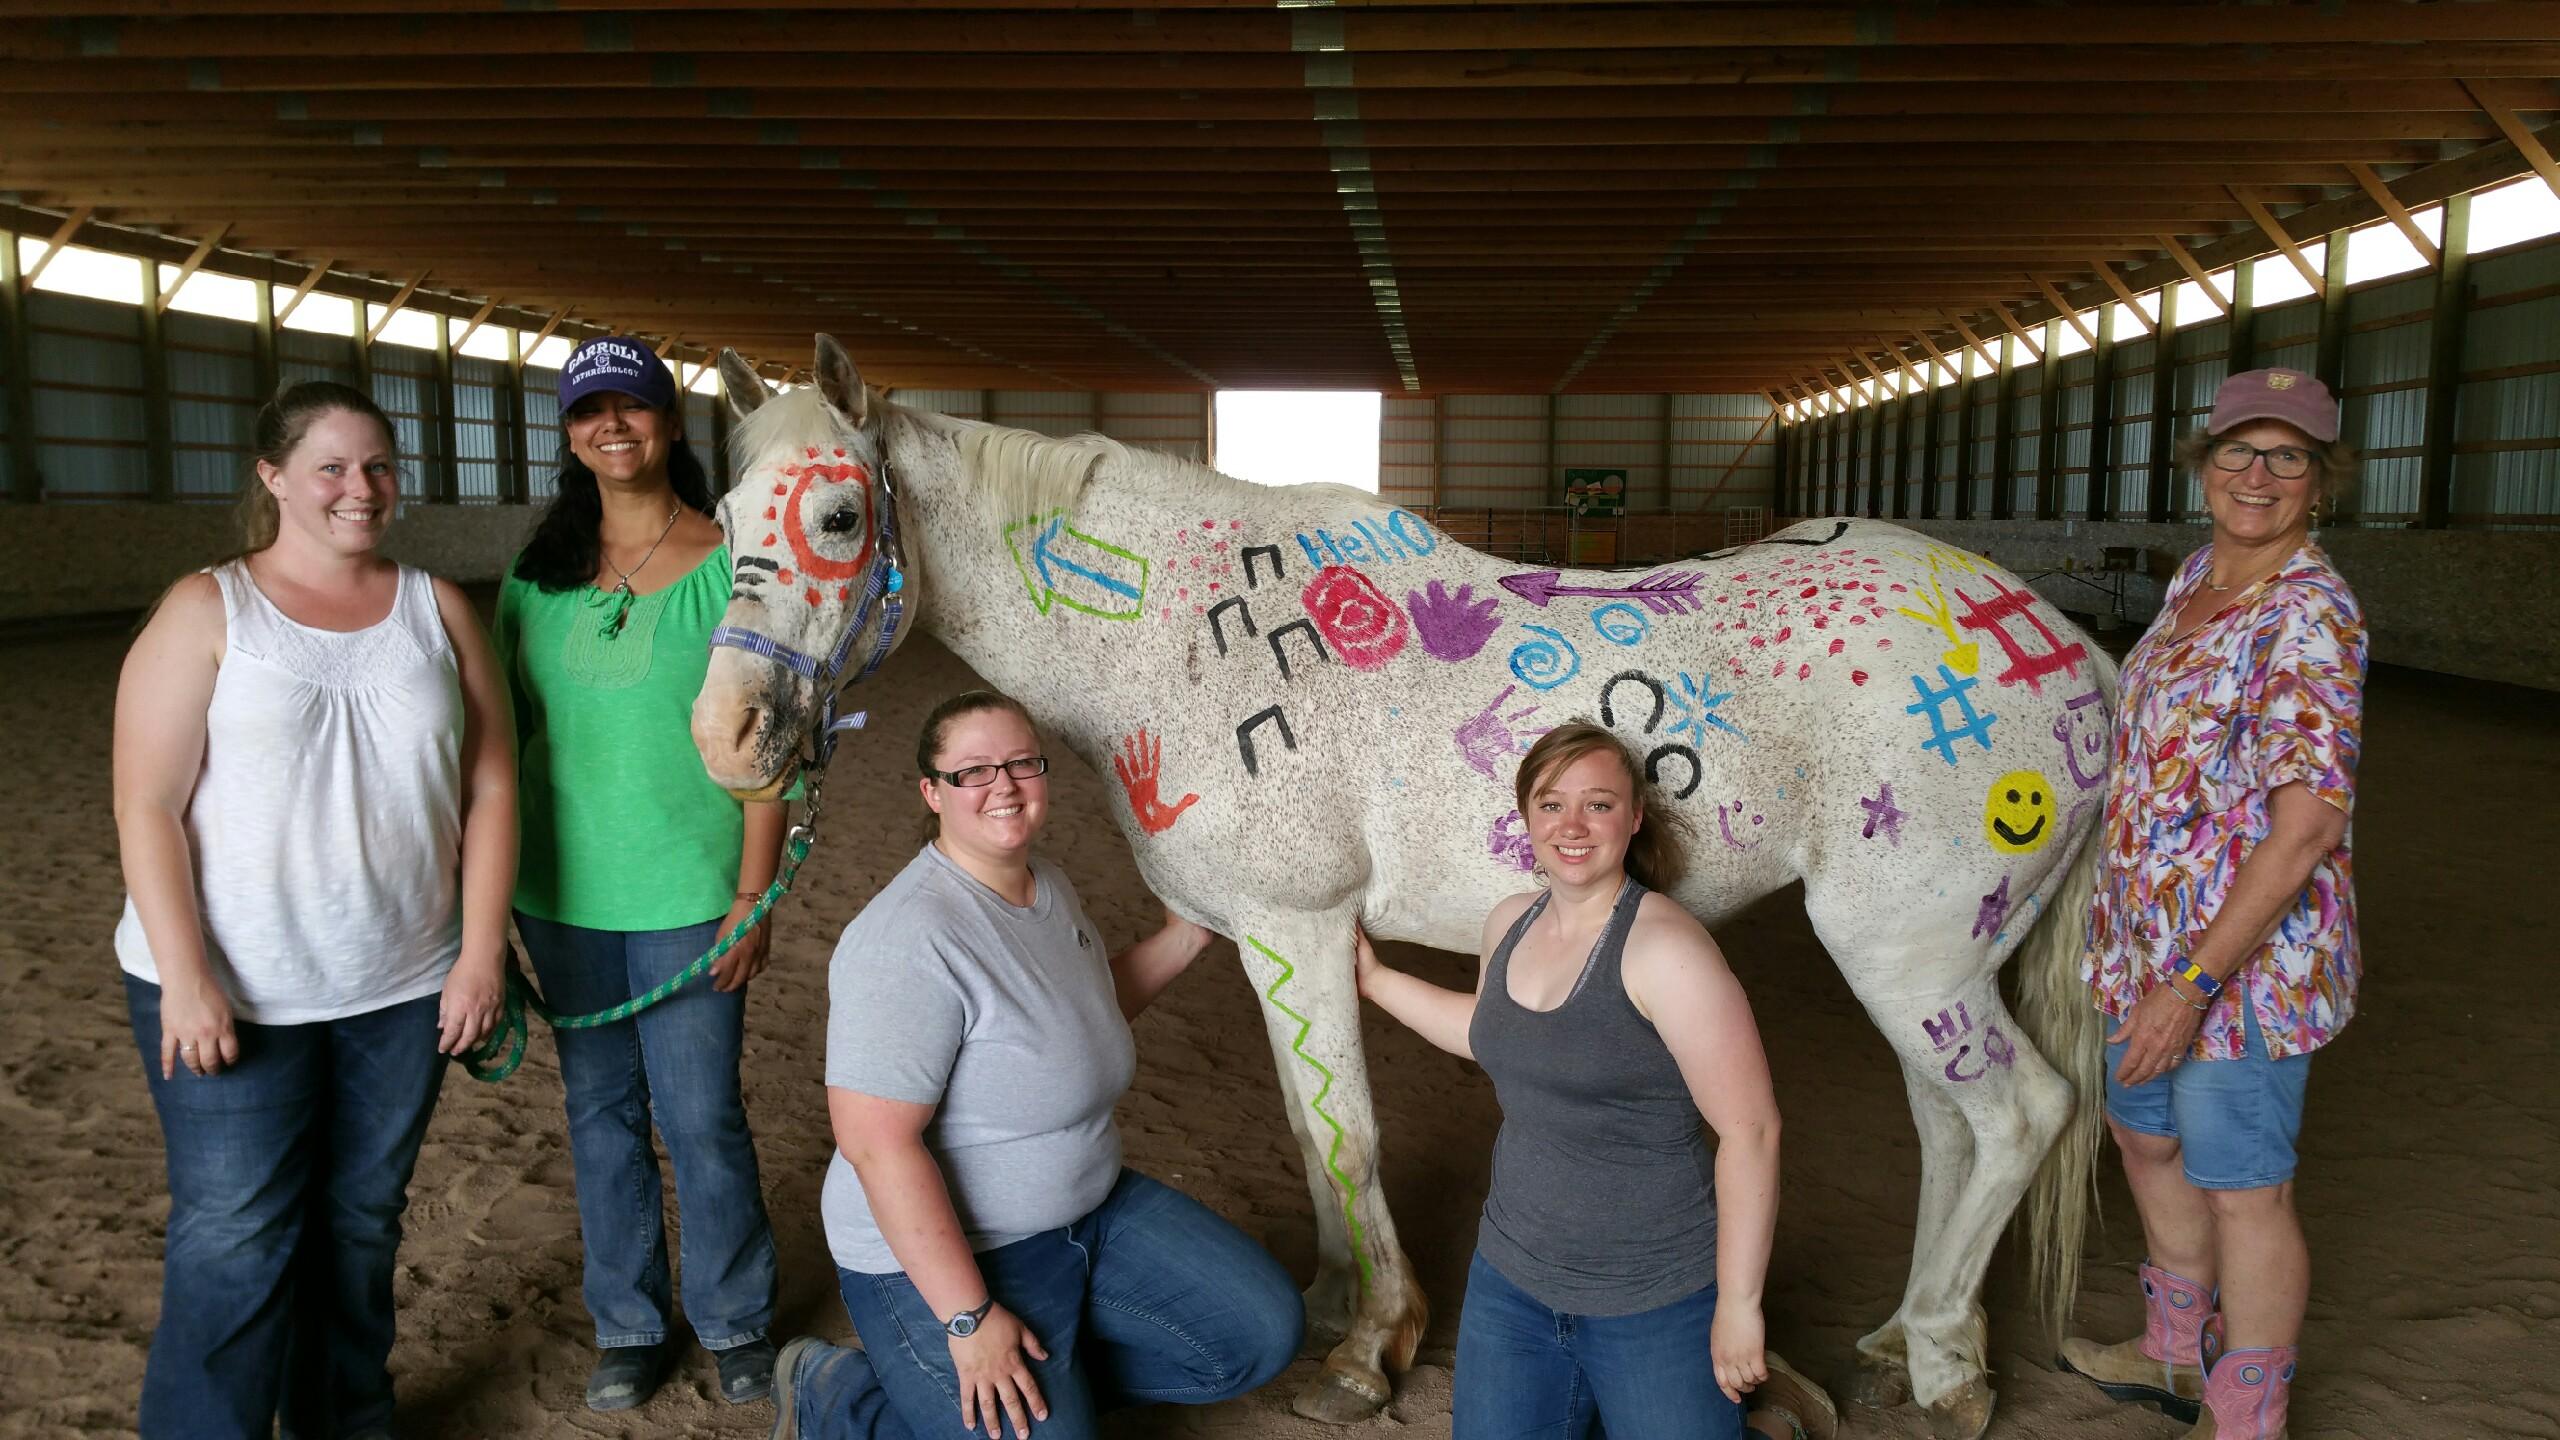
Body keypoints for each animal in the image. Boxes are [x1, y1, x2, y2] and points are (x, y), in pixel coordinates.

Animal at [686, 333, 2119, 1424]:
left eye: (837, 517)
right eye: (723, 518)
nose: (726, 736)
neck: (1170, 631)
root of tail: (2073, 654)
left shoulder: (1299, 928)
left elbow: (1348, 1135)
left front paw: (1371, 1349)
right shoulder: (1273, 943)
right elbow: (1310, 1127)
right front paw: (1333, 1304)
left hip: (1910, 957)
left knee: (2016, 1117)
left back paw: (1945, 1372)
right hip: (1931, 965)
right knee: (1949, 1128)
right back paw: (1902, 1345)